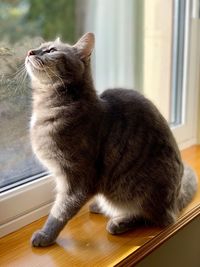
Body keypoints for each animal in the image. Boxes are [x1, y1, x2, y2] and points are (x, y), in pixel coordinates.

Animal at [24, 32, 197, 248]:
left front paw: (46, 235)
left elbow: (60, 211)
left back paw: (119, 221)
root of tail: (175, 200)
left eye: (51, 50)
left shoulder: (77, 180)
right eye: (40, 46)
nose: (30, 52)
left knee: (155, 217)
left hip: (143, 191)